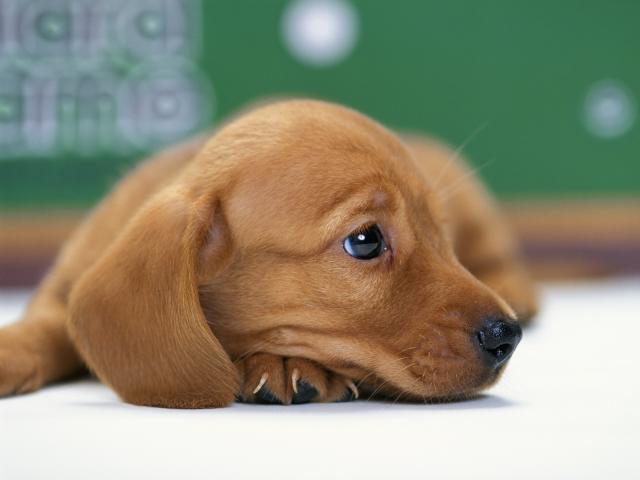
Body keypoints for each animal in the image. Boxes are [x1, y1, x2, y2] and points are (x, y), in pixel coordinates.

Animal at [0, 99, 536, 406]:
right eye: (365, 240)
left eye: (440, 236)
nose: (506, 337)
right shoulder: (62, 288)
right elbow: (44, 328)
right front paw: (11, 349)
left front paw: (282, 364)